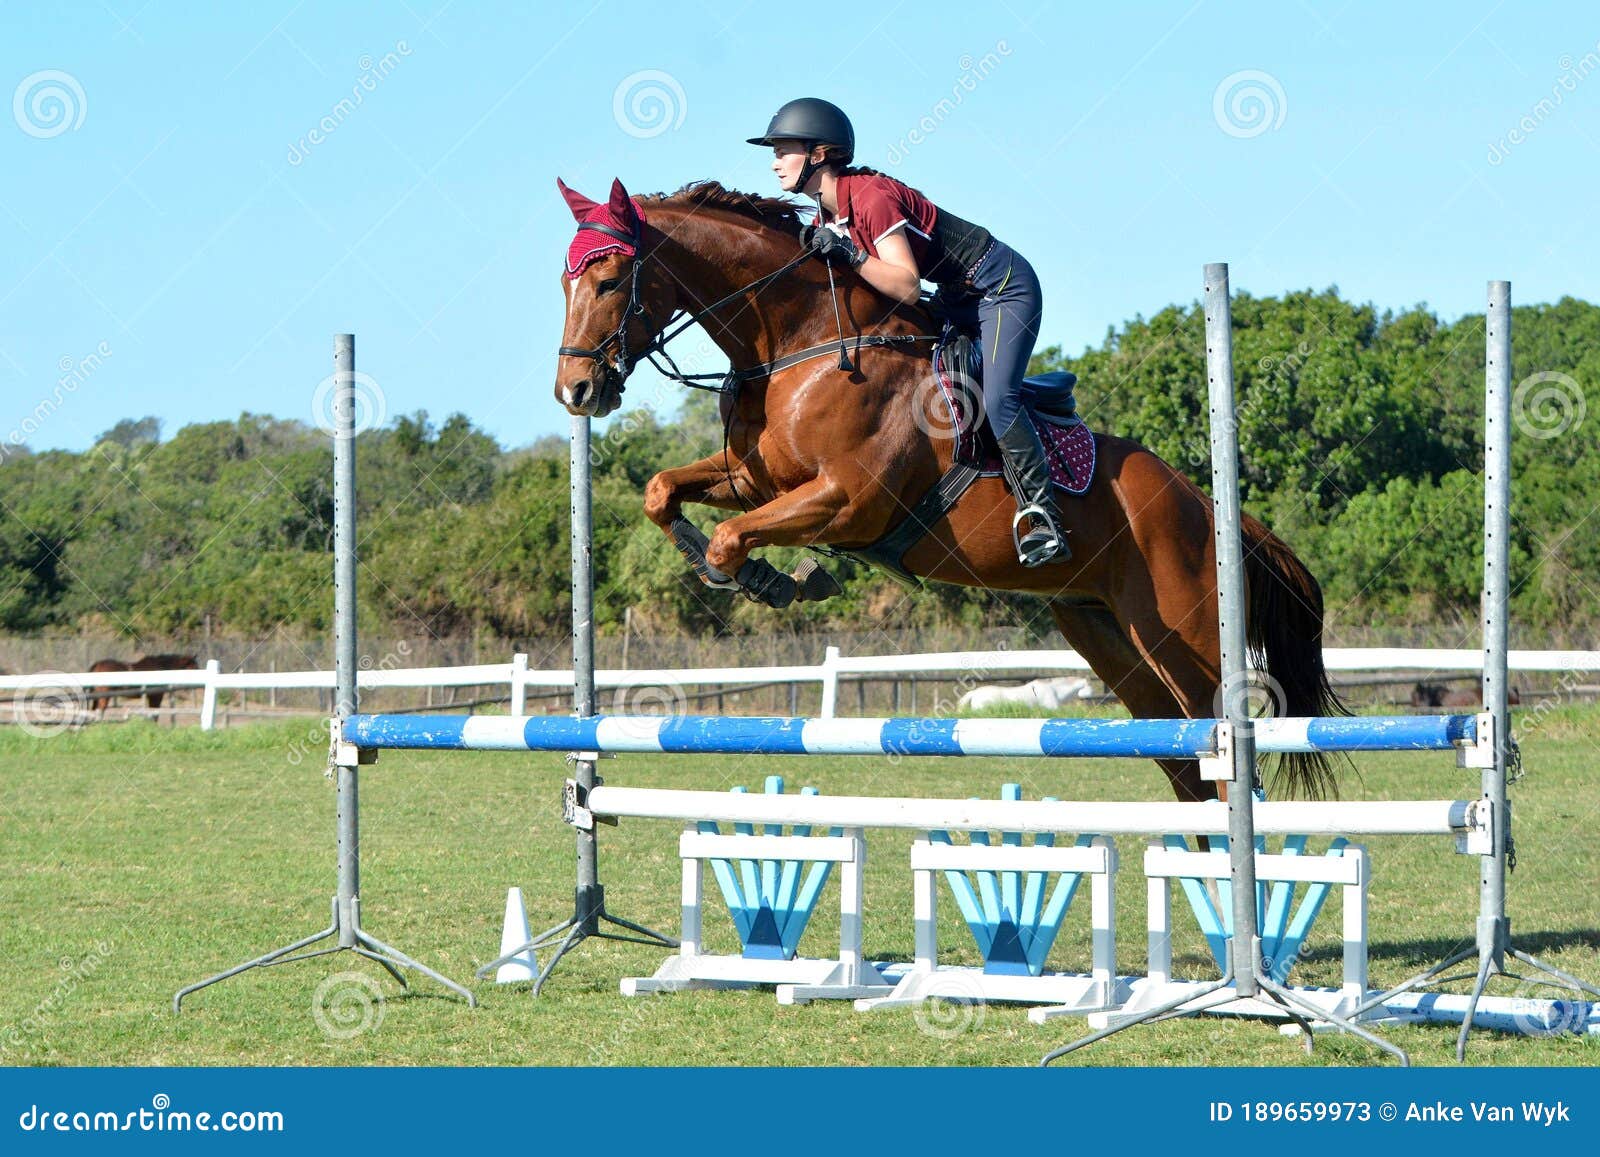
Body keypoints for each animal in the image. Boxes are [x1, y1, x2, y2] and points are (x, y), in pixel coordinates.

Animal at [556, 178, 1344, 806]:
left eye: (609, 282)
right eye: (565, 284)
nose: (575, 391)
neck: (803, 343)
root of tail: (1206, 507)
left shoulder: (848, 498)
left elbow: (732, 536)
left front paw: (776, 580)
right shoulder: (760, 479)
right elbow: (663, 492)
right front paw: (749, 570)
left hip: (1187, 636)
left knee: (1225, 758)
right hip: (1111, 638)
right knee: (1187, 766)